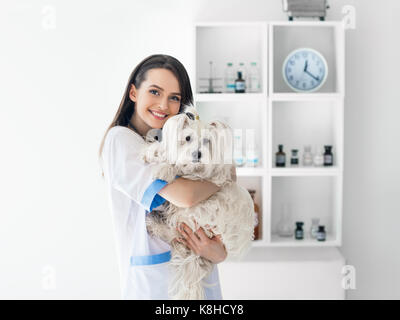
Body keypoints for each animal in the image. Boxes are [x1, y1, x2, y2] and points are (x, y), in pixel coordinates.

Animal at [141, 105, 256, 300]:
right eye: (187, 138)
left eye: (207, 141)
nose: (197, 154)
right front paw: (154, 151)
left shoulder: (208, 178)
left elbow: (178, 167)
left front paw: (164, 168)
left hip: (196, 214)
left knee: (174, 232)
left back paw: (153, 224)